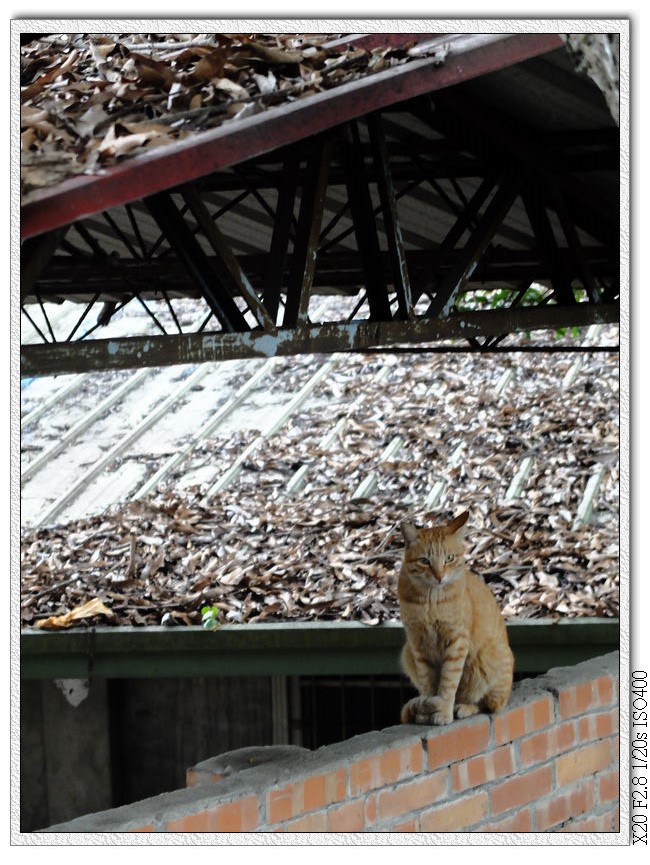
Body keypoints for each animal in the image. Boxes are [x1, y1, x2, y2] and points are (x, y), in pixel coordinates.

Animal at [394, 510, 512, 724]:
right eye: (424, 561)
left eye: (449, 558)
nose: (439, 577)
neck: (431, 602)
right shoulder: (417, 643)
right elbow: (427, 682)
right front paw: (425, 710)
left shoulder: (456, 641)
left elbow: (449, 683)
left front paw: (443, 712)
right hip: (406, 652)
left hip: (486, 659)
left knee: (488, 704)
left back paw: (463, 707)